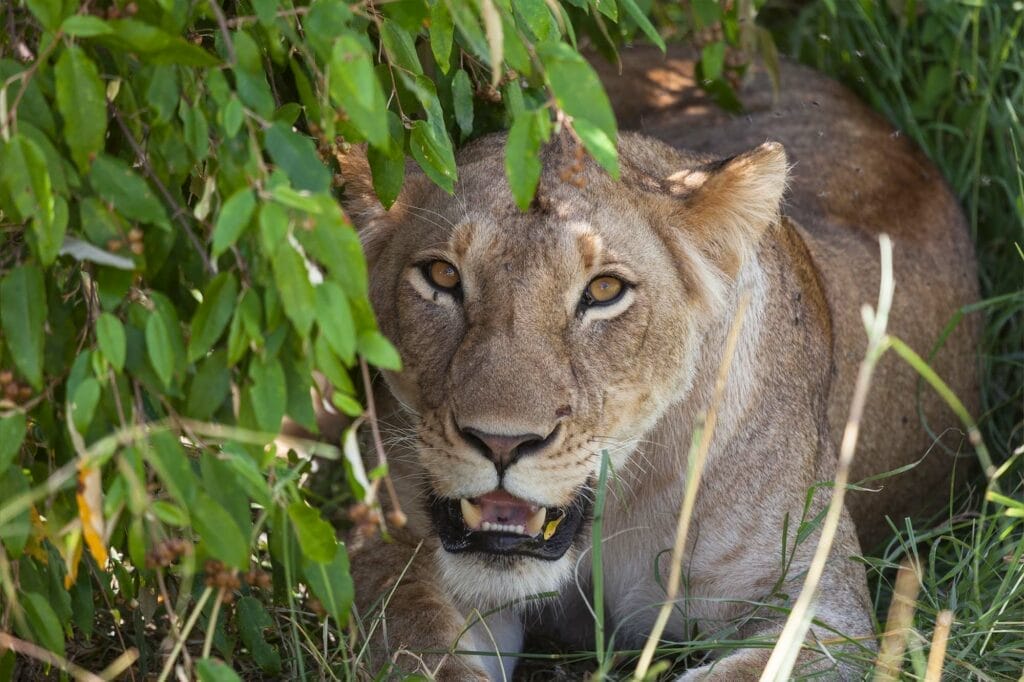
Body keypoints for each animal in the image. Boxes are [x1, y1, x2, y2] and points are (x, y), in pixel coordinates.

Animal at [334, 47, 979, 680]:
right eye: (443, 276)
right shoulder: (393, 554)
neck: (610, 511)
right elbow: (422, 651)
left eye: (604, 291)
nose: (501, 443)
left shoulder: (824, 608)